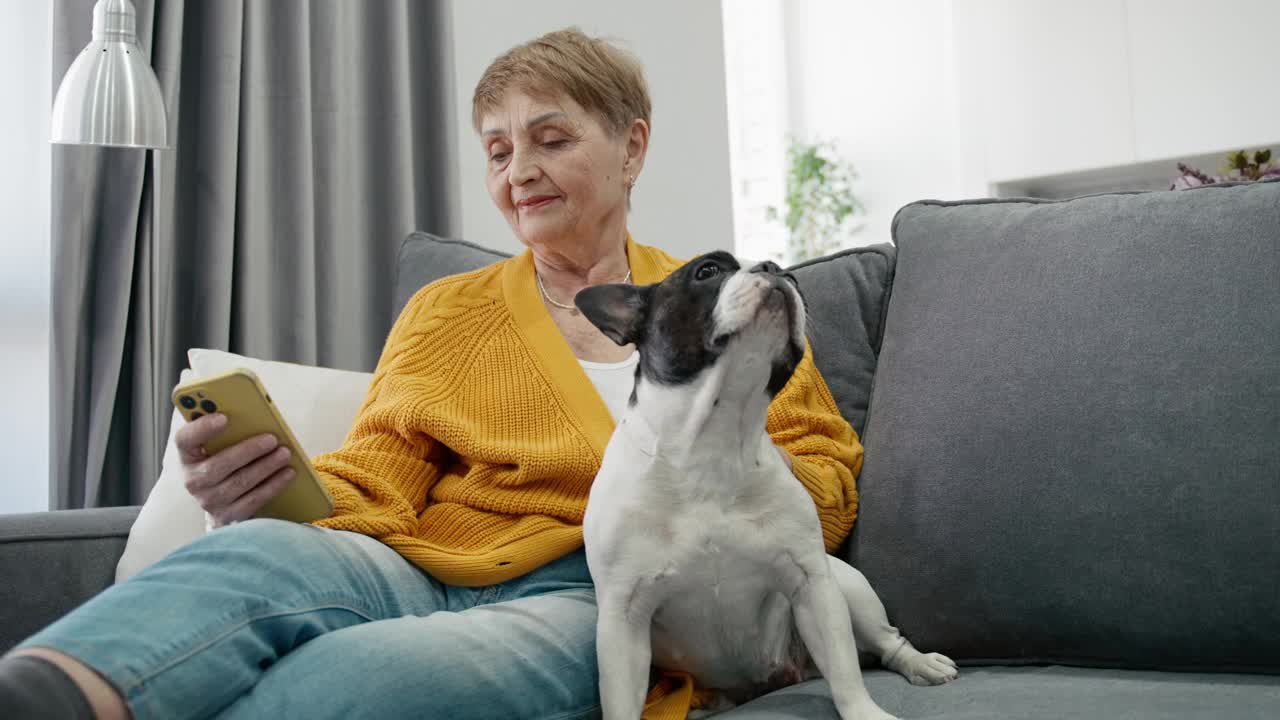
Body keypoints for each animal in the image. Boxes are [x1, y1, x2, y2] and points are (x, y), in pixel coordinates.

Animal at [576, 252, 957, 717]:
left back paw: (921, 663)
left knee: (886, 643)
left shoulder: (813, 585)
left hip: (847, 586)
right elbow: (620, 702)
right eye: (707, 272)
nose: (777, 269)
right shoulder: (623, 620)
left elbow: (844, 670)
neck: (714, 441)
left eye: (793, 277)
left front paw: (864, 712)